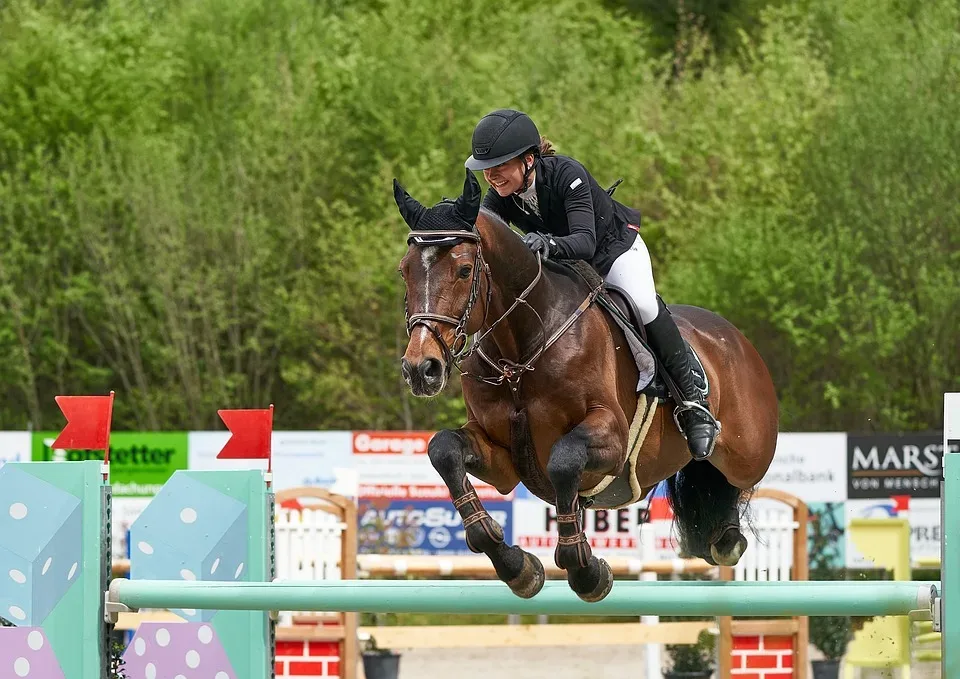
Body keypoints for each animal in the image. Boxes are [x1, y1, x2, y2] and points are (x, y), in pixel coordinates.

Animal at [394, 169, 776, 600]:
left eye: (462, 271)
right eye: (404, 271)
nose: (420, 368)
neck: (522, 348)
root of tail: (736, 338)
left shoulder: (613, 438)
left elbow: (564, 460)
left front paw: (586, 571)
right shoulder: (504, 459)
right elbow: (444, 449)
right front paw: (517, 567)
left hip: (749, 453)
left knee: (735, 478)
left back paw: (709, 464)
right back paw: (720, 534)